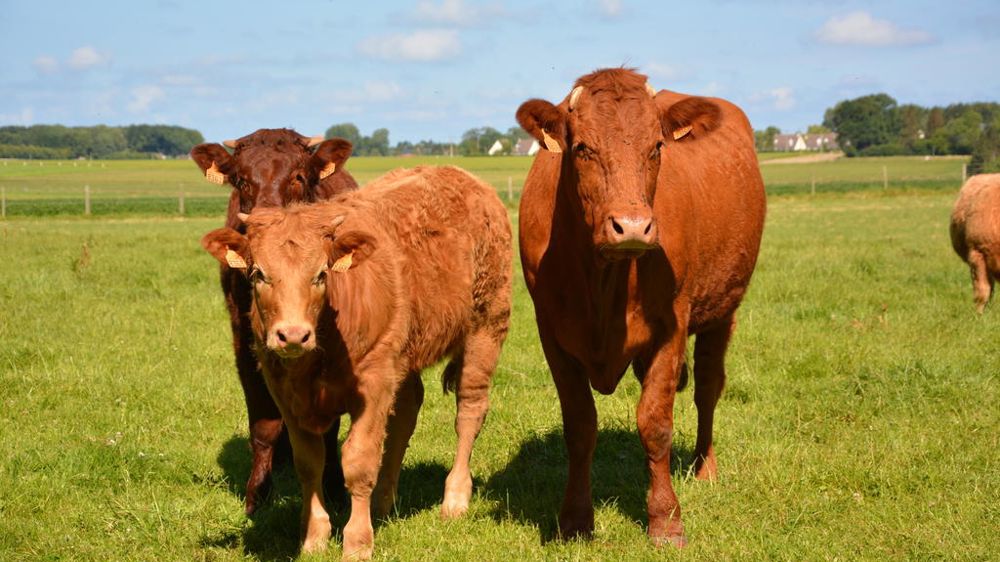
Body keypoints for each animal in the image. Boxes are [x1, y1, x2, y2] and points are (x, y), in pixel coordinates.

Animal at [190, 128, 358, 515]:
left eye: (298, 177)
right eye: (240, 180)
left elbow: (326, 426)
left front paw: (333, 488)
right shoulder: (245, 346)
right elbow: (263, 424)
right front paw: (258, 494)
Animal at [199, 165, 512, 560]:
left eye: (321, 274)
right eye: (258, 274)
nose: (292, 335)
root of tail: (463, 177)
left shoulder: (373, 384)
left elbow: (358, 461)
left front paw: (358, 541)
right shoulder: (285, 392)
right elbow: (310, 463)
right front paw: (315, 536)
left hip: (486, 326)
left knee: (469, 409)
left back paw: (455, 498)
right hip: (403, 355)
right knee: (405, 415)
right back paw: (383, 502)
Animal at [514, 68, 766, 546]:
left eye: (657, 147)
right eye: (582, 148)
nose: (632, 226)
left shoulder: (671, 326)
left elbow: (655, 424)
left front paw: (666, 520)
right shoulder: (551, 332)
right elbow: (580, 426)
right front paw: (574, 520)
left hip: (723, 311)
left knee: (708, 387)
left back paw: (705, 468)